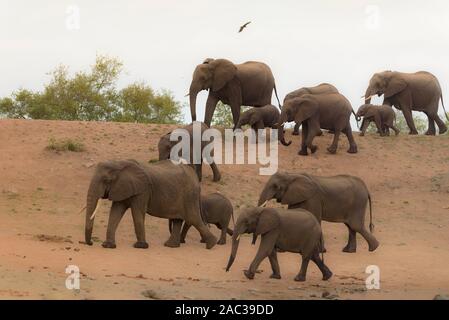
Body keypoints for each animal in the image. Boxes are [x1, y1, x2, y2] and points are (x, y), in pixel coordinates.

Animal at [85, 160, 217, 250]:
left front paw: (140, 246)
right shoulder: (122, 188)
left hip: (189, 195)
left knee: (193, 218)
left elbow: (137, 213)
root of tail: (196, 178)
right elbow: (115, 212)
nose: (91, 243)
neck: (120, 164)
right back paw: (170, 246)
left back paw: (211, 244)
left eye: (106, 180)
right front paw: (108, 245)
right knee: (178, 219)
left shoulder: (143, 191)